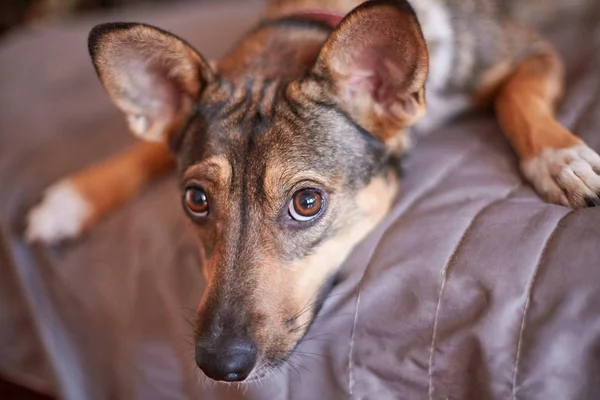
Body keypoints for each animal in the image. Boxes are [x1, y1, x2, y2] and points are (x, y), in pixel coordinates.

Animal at [24, 0, 600, 382]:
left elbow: (518, 98)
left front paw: (560, 158)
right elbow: (147, 150)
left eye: (306, 202)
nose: (218, 365)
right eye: (195, 200)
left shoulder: (528, 51)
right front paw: (72, 198)